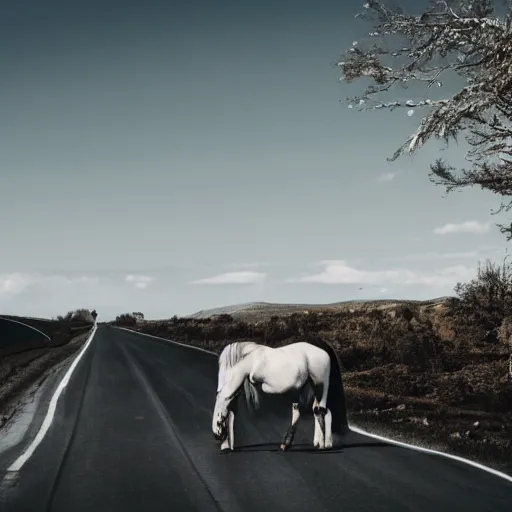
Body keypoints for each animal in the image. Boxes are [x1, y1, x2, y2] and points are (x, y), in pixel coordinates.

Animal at [211, 340, 348, 452]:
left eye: (219, 414)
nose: (217, 437)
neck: (251, 360)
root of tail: (324, 351)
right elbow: (233, 411)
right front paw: (227, 445)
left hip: (320, 385)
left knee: (320, 411)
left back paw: (321, 445)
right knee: (321, 411)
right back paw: (320, 443)